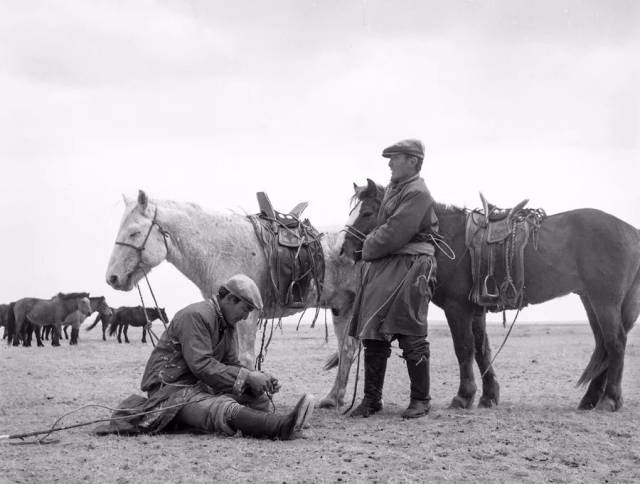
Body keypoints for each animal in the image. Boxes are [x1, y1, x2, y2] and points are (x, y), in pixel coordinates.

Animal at [107, 190, 362, 408]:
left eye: (134, 232)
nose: (112, 277)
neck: (220, 250)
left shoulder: (248, 316)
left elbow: (245, 359)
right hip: (343, 308)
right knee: (347, 350)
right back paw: (333, 399)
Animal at [342, 180, 640, 410]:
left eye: (367, 212)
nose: (345, 250)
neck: (447, 237)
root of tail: (631, 231)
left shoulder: (457, 309)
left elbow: (464, 348)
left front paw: (464, 397)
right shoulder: (475, 309)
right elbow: (481, 349)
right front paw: (488, 396)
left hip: (604, 301)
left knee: (615, 343)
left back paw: (610, 400)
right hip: (591, 300)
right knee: (603, 345)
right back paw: (590, 399)